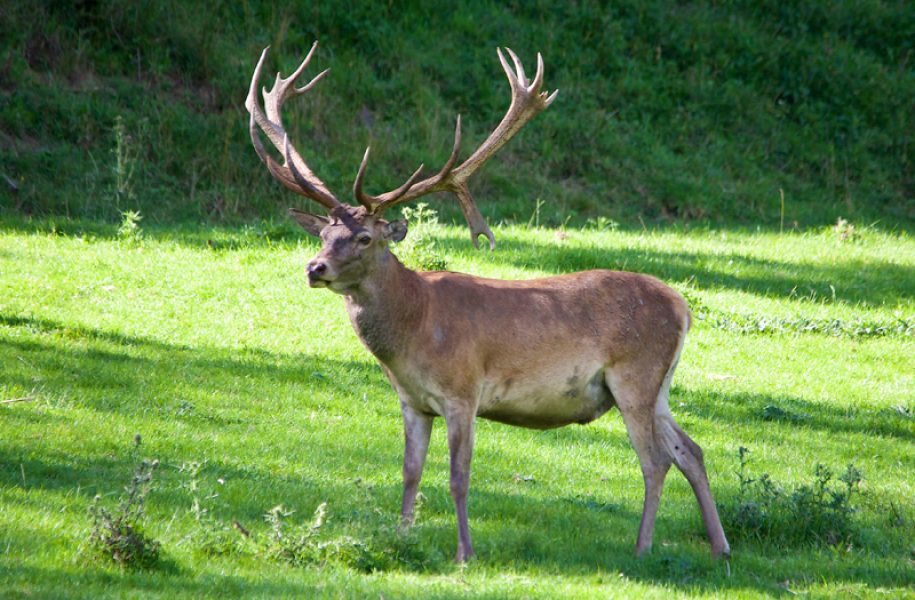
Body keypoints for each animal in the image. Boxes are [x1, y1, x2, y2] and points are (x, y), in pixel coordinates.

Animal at [243, 42, 728, 564]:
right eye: (325, 234)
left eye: (365, 237)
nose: (316, 268)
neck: (414, 328)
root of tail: (683, 307)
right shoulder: (411, 401)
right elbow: (410, 472)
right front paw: (402, 537)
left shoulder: (463, 391)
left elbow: (459, 476)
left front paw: (464, 553)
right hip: (658, 385)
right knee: (691, 449)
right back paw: (720, 547)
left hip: (635, 373)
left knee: (655, 460)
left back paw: (641, 548)